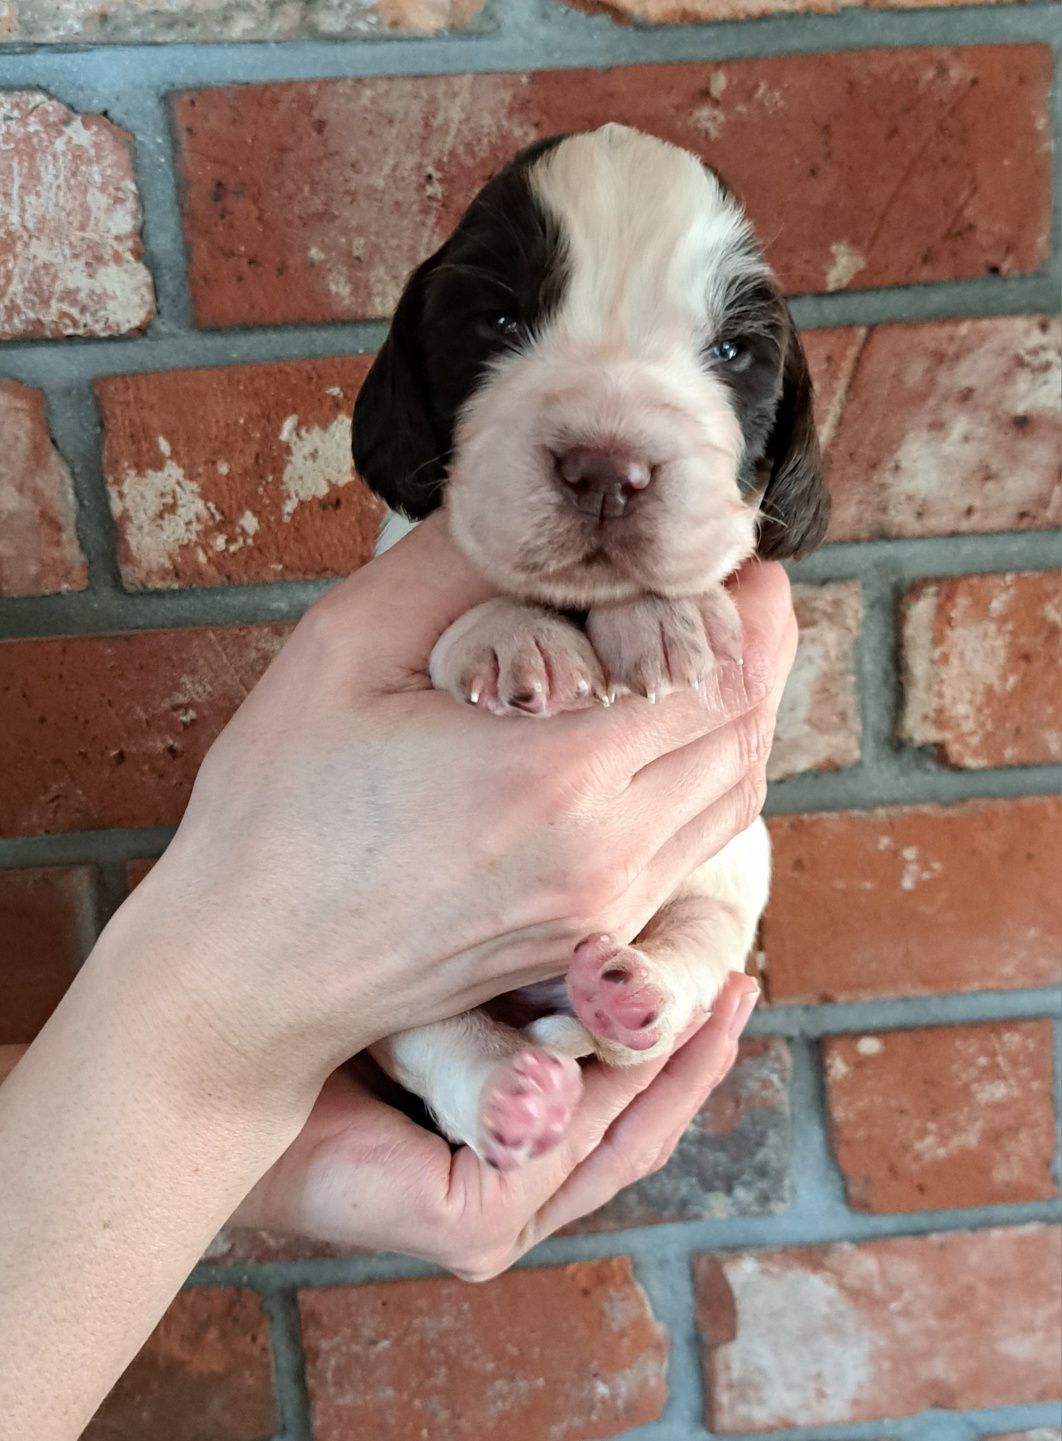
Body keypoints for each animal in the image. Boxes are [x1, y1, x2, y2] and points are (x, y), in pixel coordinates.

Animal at [350, 126, 830, 1170]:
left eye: (731, 351)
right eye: (496, 318)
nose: (608, 471)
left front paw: (668, 615)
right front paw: (514, 635)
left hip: (729, 888)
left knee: (673, 988)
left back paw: (624, 995)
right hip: (398, 989)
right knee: (441, 1039)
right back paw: (513, 1091)